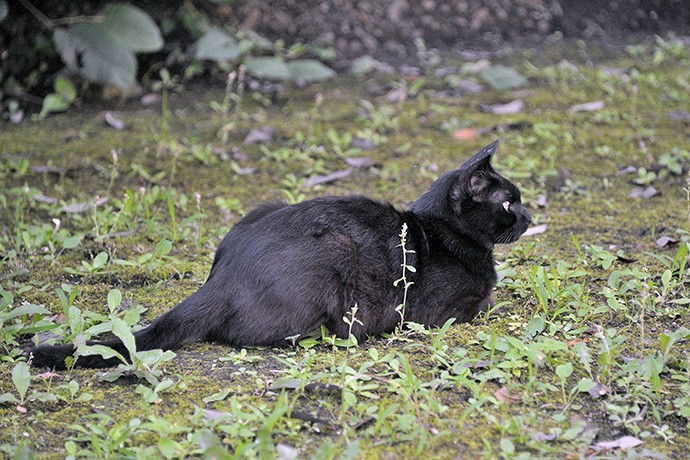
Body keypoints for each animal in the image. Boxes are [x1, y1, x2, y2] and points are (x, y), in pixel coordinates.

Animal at [26, 138, 528, 368]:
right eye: (509, 202)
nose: (529, 214)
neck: (443, 230)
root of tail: (221, 280)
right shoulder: (443, 311)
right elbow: (487, 303)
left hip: (263, 206)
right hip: (337, 262)